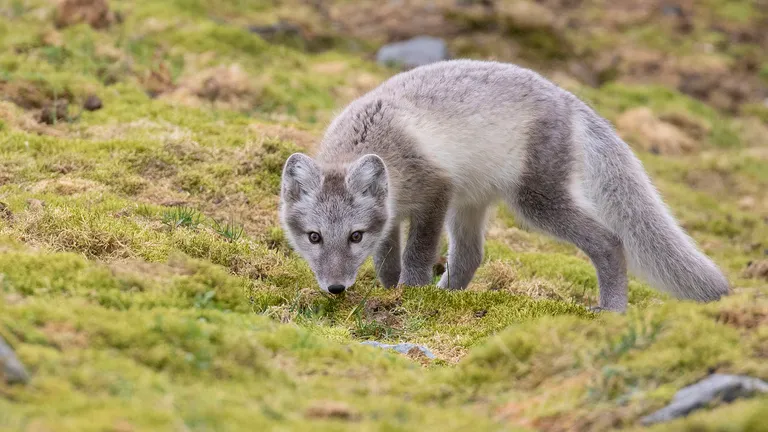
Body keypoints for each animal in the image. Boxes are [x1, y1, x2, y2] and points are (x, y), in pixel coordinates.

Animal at [279, 59, 730, 312]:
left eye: (354, 236)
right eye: (314, 237)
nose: (336, 288)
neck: (377, 141)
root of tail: (569, 99)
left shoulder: (435, 192)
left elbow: (416, 253)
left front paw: (410, 294)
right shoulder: (392, 213)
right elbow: (387, 257)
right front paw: (389, 290)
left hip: (534, 199)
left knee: (609, 240)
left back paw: (612, 309)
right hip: (471, 202)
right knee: (470, 257)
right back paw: (448, 295)